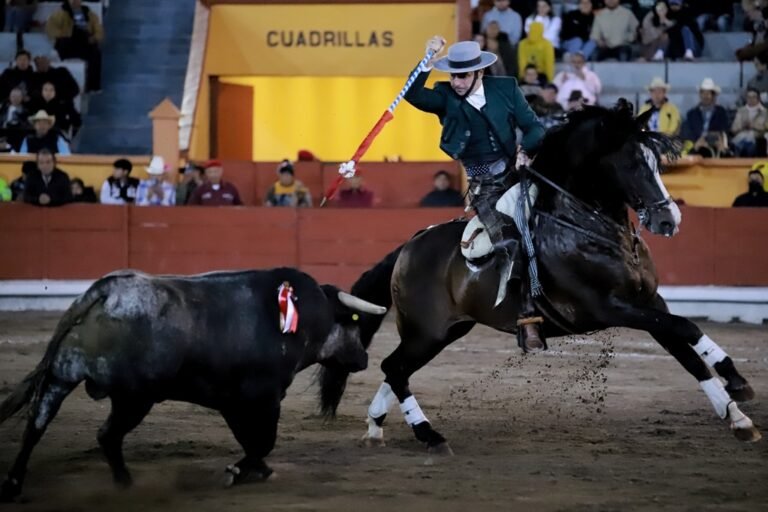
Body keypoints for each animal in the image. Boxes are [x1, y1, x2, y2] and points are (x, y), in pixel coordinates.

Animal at [0, 268, 388, 500]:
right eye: (355, 323)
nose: (364, 359)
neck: (302, 318)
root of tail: (106, 291)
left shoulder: (232, 401)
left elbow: (251, 440)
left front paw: (253, 470)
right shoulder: (262, 397)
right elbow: (262, 440)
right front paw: (240, 471)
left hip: (62, 377)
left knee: (36, 426)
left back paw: (16, 484)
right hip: (134, 397)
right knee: (107, 435)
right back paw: (126, 485)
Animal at [316, 100, 760, 452]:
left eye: (656, 162)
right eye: (633, 163)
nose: (670, 219)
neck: (591, 228)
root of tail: (409, 247)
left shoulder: (649, 301)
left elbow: (685, 348)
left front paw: (736, 413)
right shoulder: (610, 307)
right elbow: (686, 327)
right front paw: (736, 384)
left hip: (444, 331)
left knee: (397, 369)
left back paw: (376, 426)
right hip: (427, 330)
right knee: (395, 368)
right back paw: (429, 435)